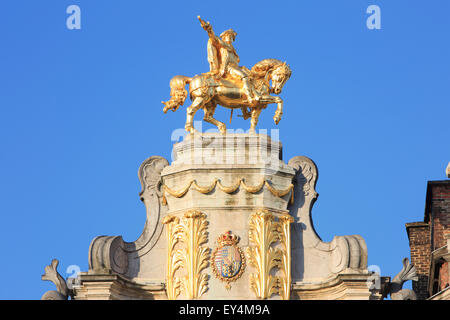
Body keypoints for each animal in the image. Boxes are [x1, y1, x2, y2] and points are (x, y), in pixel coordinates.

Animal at [162, 58, 292, 134]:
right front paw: (277, 117)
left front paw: (252, 134)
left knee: (207, 117)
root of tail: (191, 78)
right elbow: (279, 100)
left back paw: (222, 128)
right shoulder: (260, 99)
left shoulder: (257, 106)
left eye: (287, 78)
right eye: (281, 75)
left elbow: (254, 120)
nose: (277, 90)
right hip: (202, 98)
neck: (258, 78)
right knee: (190, 110)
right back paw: (193, 131)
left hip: (210, 102)